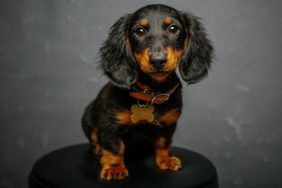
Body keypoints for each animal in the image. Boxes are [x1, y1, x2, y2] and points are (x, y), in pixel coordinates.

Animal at [81, 4, 214, 181]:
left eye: (174, 29)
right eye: (139, 31)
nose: (158, 60)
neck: (152, 92)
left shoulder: (169, 123)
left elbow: (163, 142)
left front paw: (166, 159)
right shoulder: (111, 124)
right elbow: (115, 146)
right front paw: (114, 168)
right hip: (88, 116)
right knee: (95, 138)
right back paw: (98, 150)